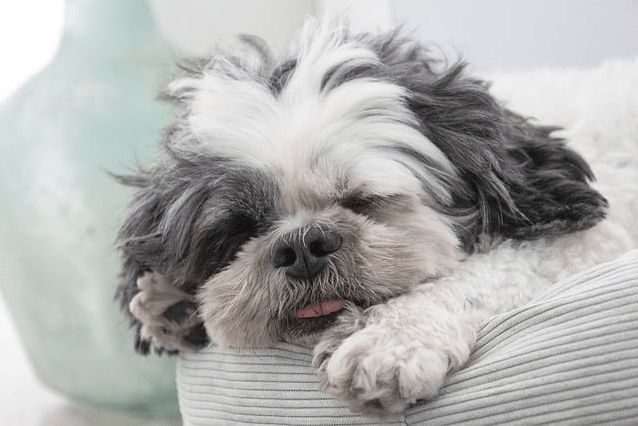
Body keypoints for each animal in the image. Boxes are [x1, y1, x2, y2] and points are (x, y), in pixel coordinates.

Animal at [115, 19, 637, 419]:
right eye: (241, 229)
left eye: (364, 200)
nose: (301, 245)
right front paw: (173, 303)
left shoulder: (587, 240)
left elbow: (488, 269)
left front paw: (390, 339)